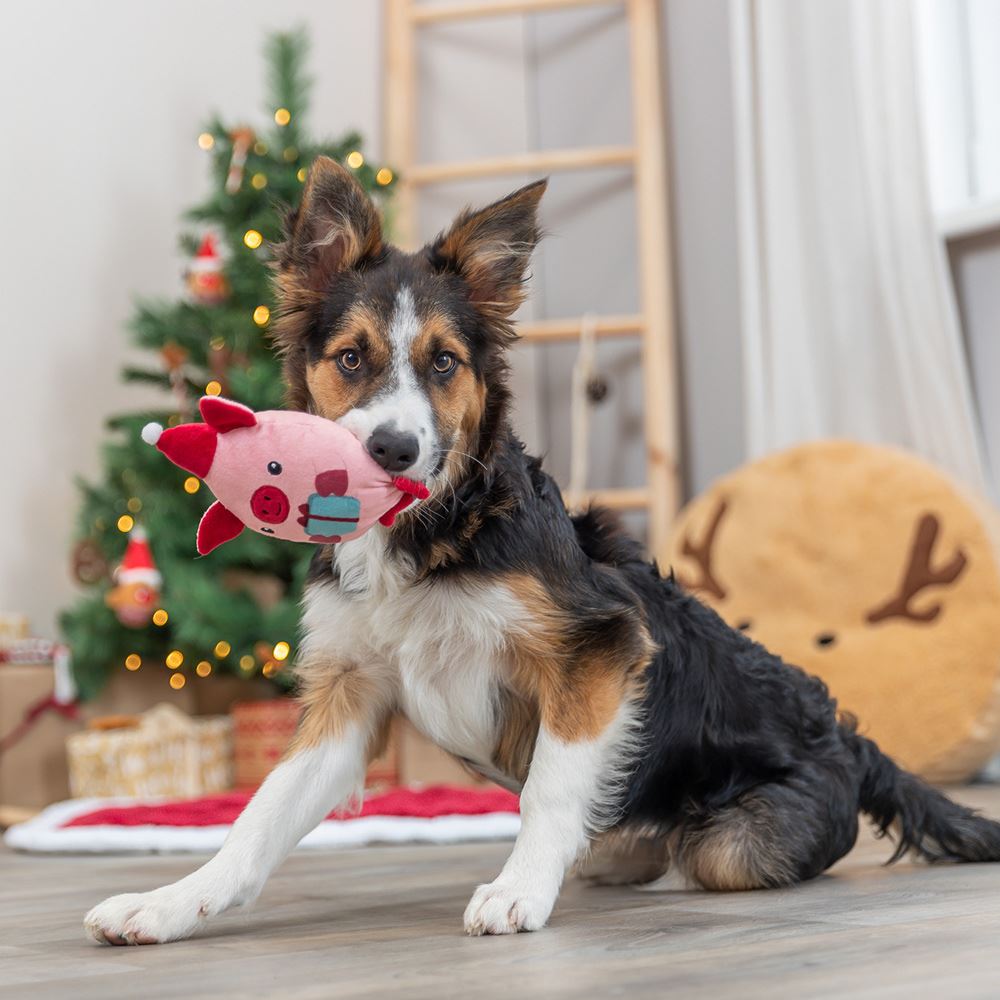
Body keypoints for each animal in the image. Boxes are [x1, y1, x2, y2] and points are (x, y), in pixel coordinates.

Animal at [84, 158, 1000, 944]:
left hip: (739, 840)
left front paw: (519, 888)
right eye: (351, 358)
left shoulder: (600, 645)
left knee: (697, 849)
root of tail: (847, 735)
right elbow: (259, 818)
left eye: (443, 362)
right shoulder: (350, 692)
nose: (394, 450)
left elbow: (553, 787)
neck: (432, 535)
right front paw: (169, 902)